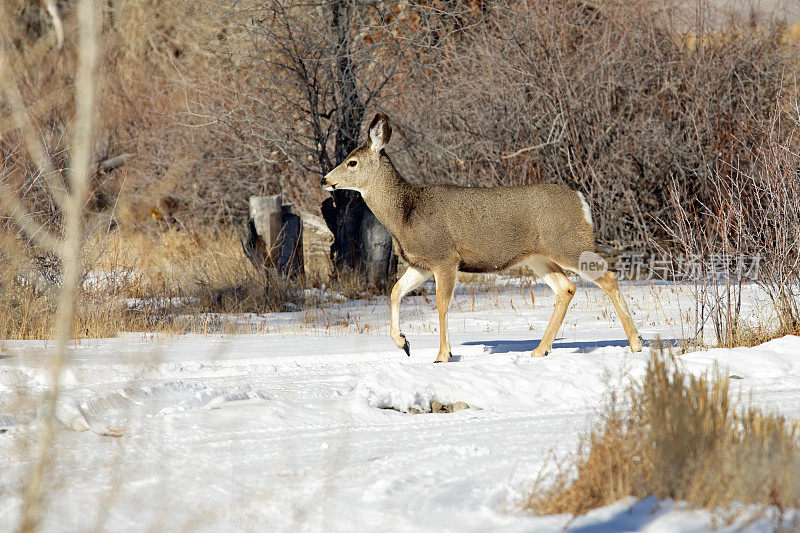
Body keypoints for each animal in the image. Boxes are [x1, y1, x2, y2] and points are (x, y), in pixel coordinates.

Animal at [322, 112, 640, 362]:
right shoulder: (421, 263)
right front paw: (404, 343)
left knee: (608, 276)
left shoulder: (445, 257)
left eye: (352, 162)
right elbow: (395, 291)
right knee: (567, 288)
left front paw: (443, 355)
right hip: (538, 257)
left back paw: (636, 343)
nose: (325, 179)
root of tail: (581, 201)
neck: (405, 214)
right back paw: (540, 350)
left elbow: (441, 304)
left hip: (569, 244)